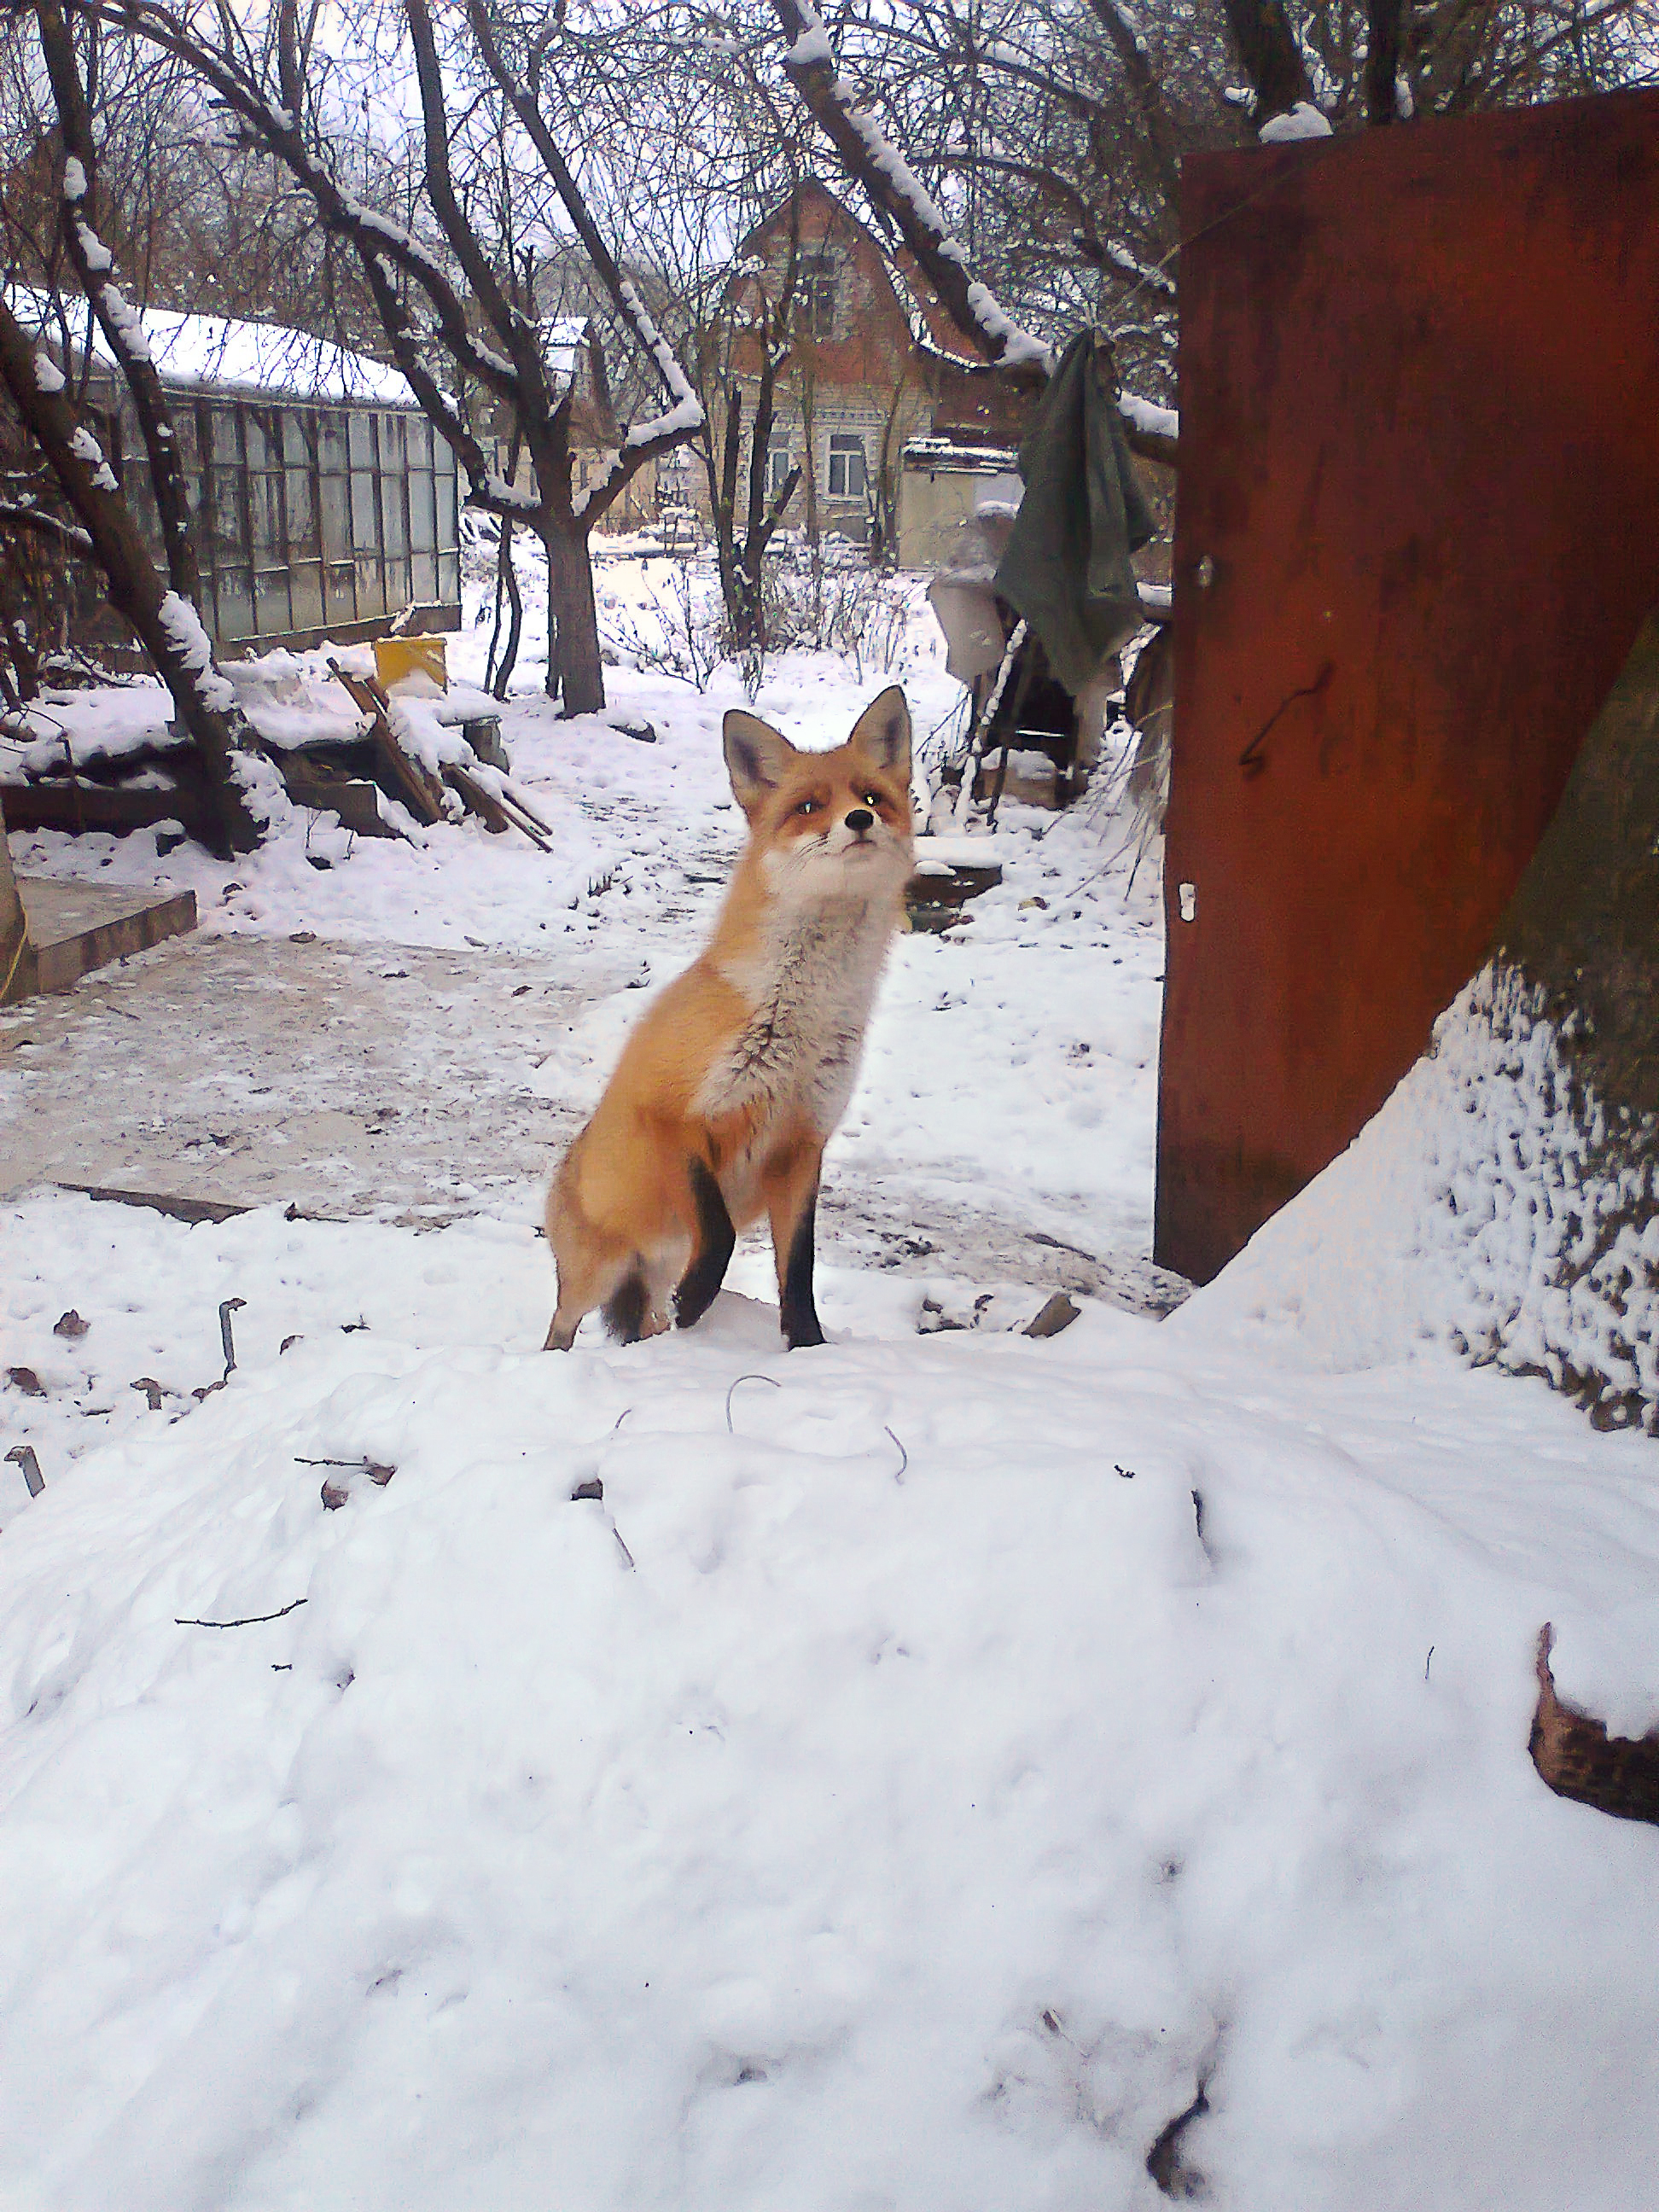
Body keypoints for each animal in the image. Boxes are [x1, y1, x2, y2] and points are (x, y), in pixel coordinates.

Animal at [546, 685, 916, 1344]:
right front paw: (700, 1300)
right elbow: (717, 1230)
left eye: (872, 797)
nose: (859, 821)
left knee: (648, 1317)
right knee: (560, 1323)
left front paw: (809, 1346)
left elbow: (799, 1267)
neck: (802, 1018)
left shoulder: (802, 1144)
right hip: (593, 1277)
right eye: (808, 807)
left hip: (649, 1276)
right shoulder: (672, 1121)